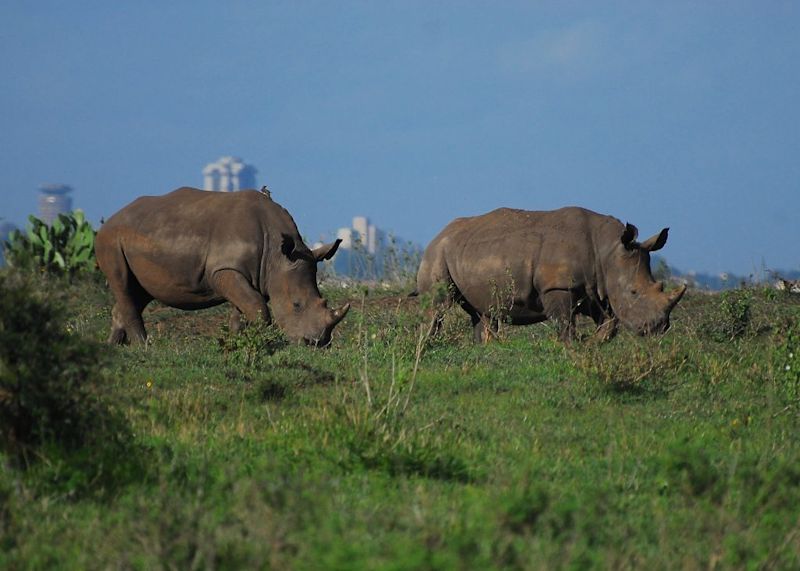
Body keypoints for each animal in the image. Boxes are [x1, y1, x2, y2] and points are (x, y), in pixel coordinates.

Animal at [94, 190, 350, 346]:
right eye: (296, 305)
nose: (318, 344)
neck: (277, 256)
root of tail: (111, 219)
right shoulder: (225, 270)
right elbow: (257, 306)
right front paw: (261, 340)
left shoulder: (248, 274)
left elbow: (243, 309)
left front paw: (237, 342)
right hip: (111, 239)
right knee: (122, 283)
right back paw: (144, 347)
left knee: (138, 292)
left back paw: (113, 347)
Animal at [416, 210, 684, 344]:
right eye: (633, 292)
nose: (658, 328)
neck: (607, 249)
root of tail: (440, 232)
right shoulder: (558, 287)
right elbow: (564, 323)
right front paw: (571, 346)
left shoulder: (596, 288)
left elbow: (609, 323)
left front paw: (592, 343)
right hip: (437, 252)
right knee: (438, 305)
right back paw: (428, 345)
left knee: (481, 312)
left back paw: (482, 347)